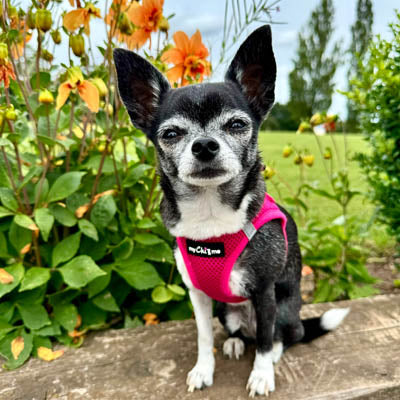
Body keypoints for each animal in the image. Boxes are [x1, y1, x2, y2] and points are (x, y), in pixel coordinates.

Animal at [113, 25, 350, 396]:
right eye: (171, 133)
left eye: (237, 125)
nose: (204, 145)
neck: (210, 213)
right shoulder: (198, 296)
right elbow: (203, 337)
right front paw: (203, 369)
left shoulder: (265, 292)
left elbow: (265, 342)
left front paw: (262, 375)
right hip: (227, 309)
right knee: (241, 332)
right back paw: (236, 343)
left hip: (285, 308)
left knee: (282, 335)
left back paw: (273, 352)